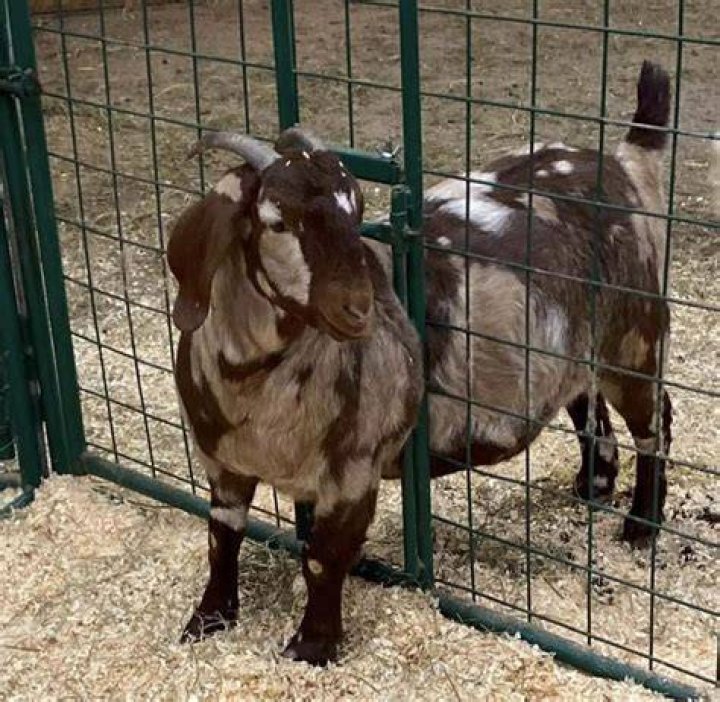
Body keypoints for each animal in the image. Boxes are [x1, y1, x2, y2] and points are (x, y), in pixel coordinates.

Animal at [168, 60, 671, 664]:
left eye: (357, 212)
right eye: (277, 221)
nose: (360, 307)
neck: (255, 389)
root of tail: (622, 159)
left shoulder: (354, 469)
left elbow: (323, 559)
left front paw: (311, 648)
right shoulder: (223, 464)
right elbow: (221, 538)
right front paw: (206, 621)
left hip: (634, 334)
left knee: (656, 421)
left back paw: (641, 526)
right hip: (575, 349)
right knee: (589, 408)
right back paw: (592, 487)